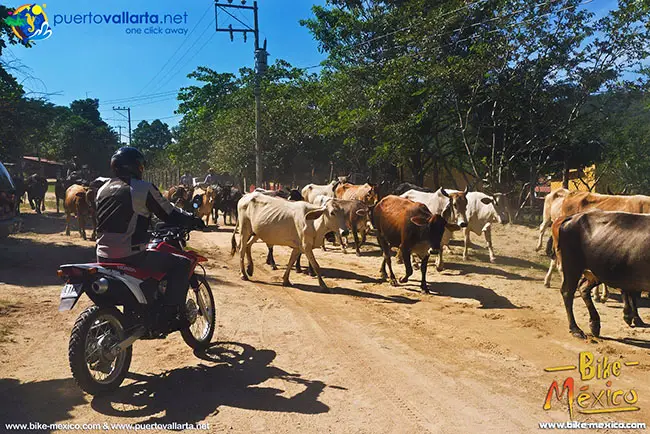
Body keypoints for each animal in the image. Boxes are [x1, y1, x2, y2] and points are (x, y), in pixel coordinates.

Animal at [548, 210, 648, 340]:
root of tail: (572, 217)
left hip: (598, 271)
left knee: (583, 288)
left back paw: (595, 324)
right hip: (572, 266)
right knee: (567, 292)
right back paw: (575, 329)